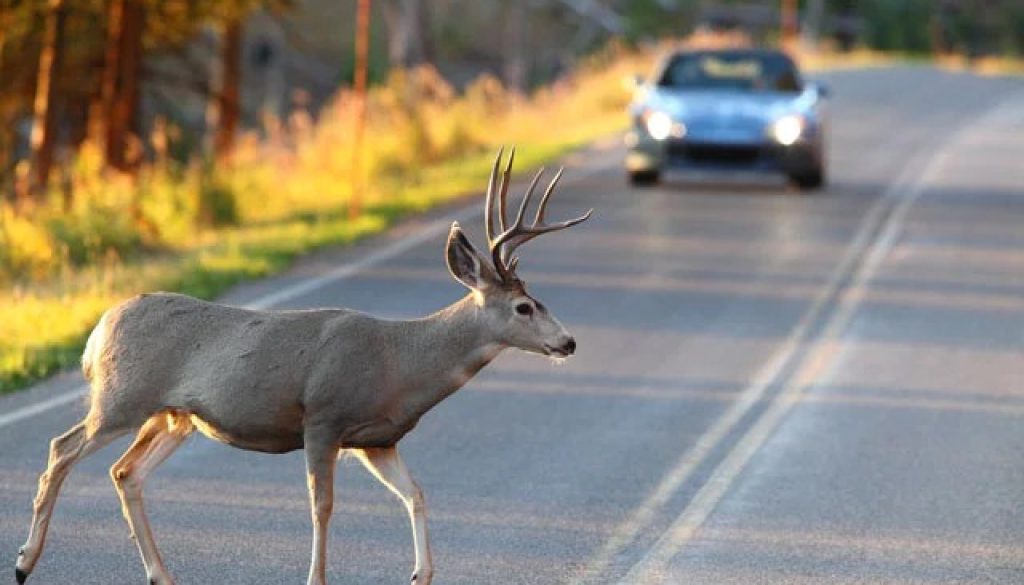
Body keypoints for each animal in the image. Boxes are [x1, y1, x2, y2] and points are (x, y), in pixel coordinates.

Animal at [14, 147, 592, 585]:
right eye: (525, 307)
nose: (568, 342)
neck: (399, 362)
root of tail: (97, 332)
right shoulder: (323, 418)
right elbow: (322, 505)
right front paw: (317, 577)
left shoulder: (378, 439)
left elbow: (416, 494)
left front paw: (421, 575)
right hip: (123, 396)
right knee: (61, 449)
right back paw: (24, 563)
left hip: (173, 416)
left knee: (125, 472)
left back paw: (162, 575)